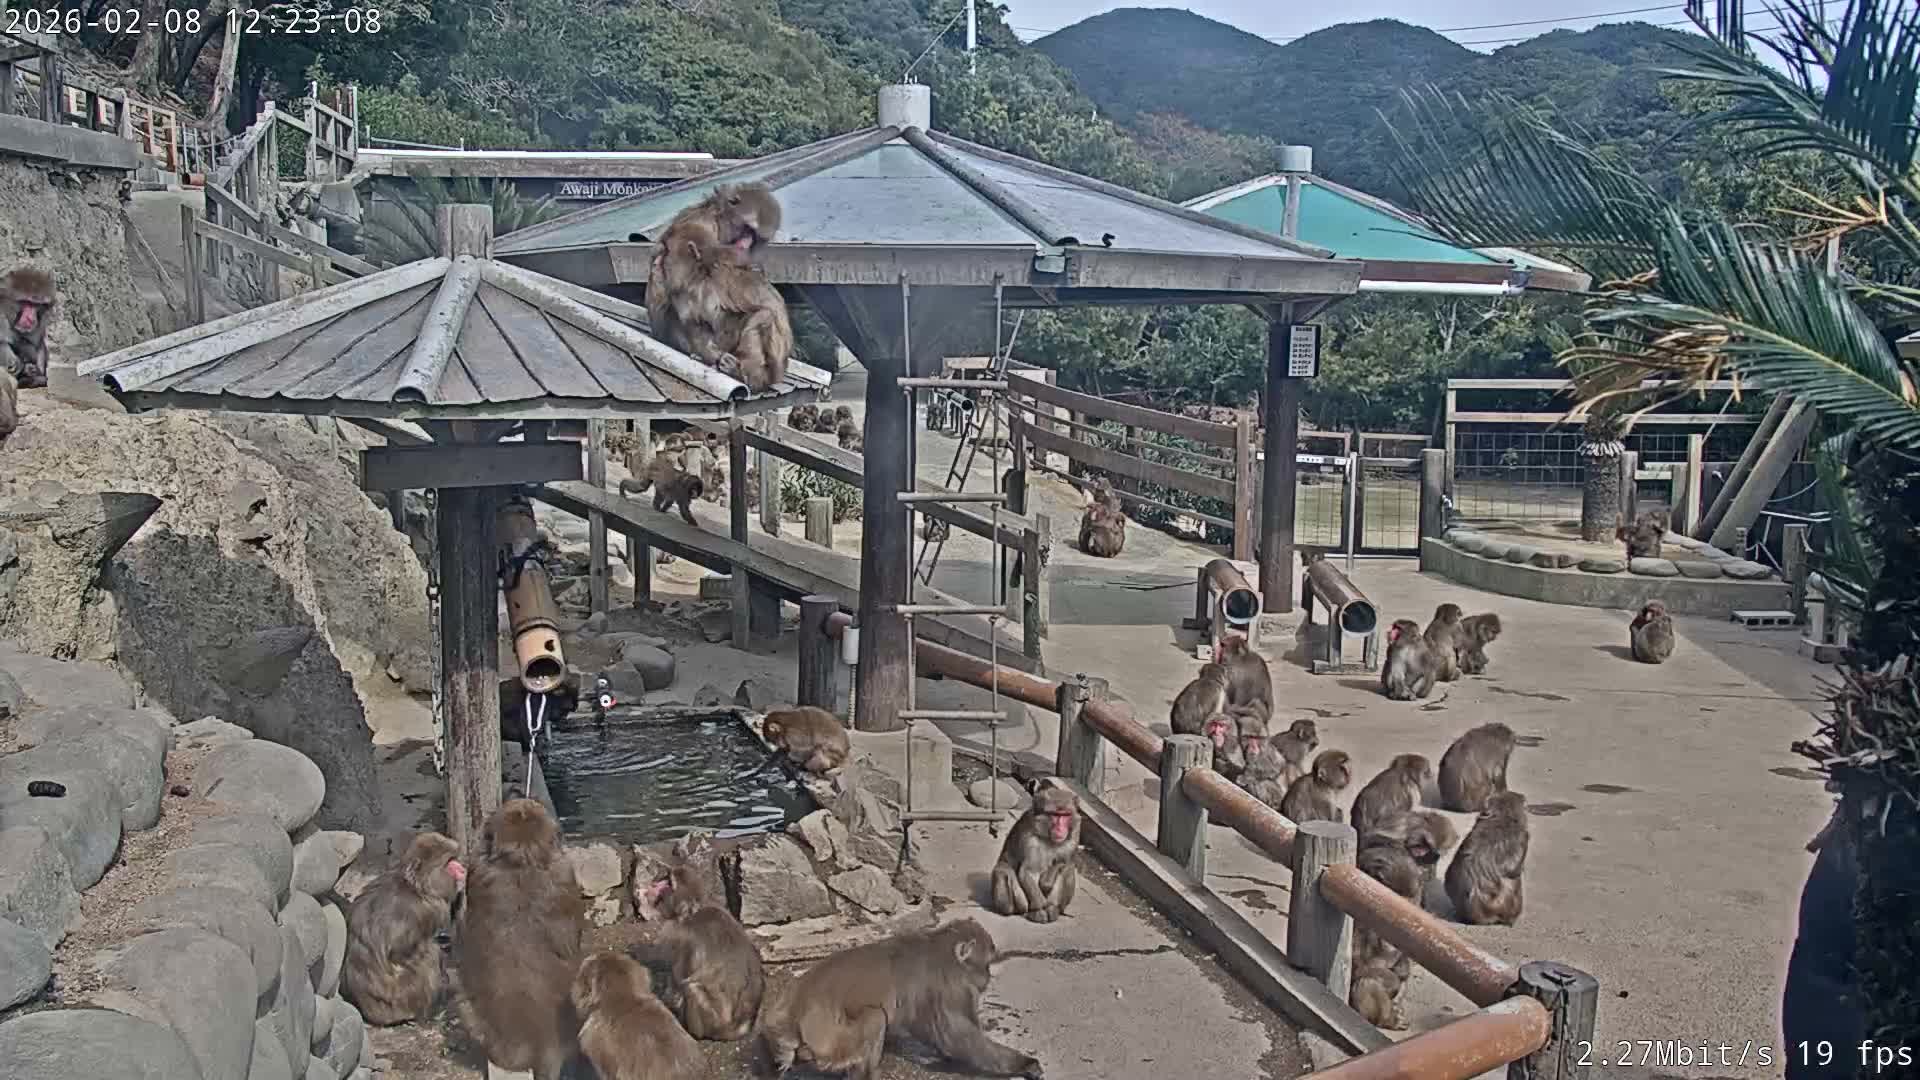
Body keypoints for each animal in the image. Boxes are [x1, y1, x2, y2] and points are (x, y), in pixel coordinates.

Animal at [340, 831, 465, 1025]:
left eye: (454, 859)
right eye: (449, 863)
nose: (462, 869)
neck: (417, 888)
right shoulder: (427, 911)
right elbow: (399, 951)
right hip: (401, 1000)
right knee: (429, 953)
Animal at [637, 859, 765, 1040]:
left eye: (670, 884)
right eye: (669, 876)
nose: (661, 876)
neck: (693, 912)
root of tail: (735, 1028)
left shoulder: (686, 937)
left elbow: (682, 976)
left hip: (713, 1020)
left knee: (692, 988)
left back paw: (693, 1032)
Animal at [759, 917, 1042, 1079]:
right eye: (987, 963)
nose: (987, 977)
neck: (942, 946)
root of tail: (792, 1015)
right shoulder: (949, 984)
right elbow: (958, 1037)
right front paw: (1025, 1064)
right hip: (832, 1042)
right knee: (875, 1017)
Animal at [989, 779, 1081, 924]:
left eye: (1066, 815)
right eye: (1055, 815)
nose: (1060, 829)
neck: (1048, 837)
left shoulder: (1073, 839)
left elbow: (1065, 862)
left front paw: (1048, 880)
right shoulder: (1031, 840)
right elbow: (1028, 872)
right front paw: (1040, 907)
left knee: (1068, 869)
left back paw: (1054, 908)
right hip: (1021, 902)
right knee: (1002, 870)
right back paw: (1026, 911)